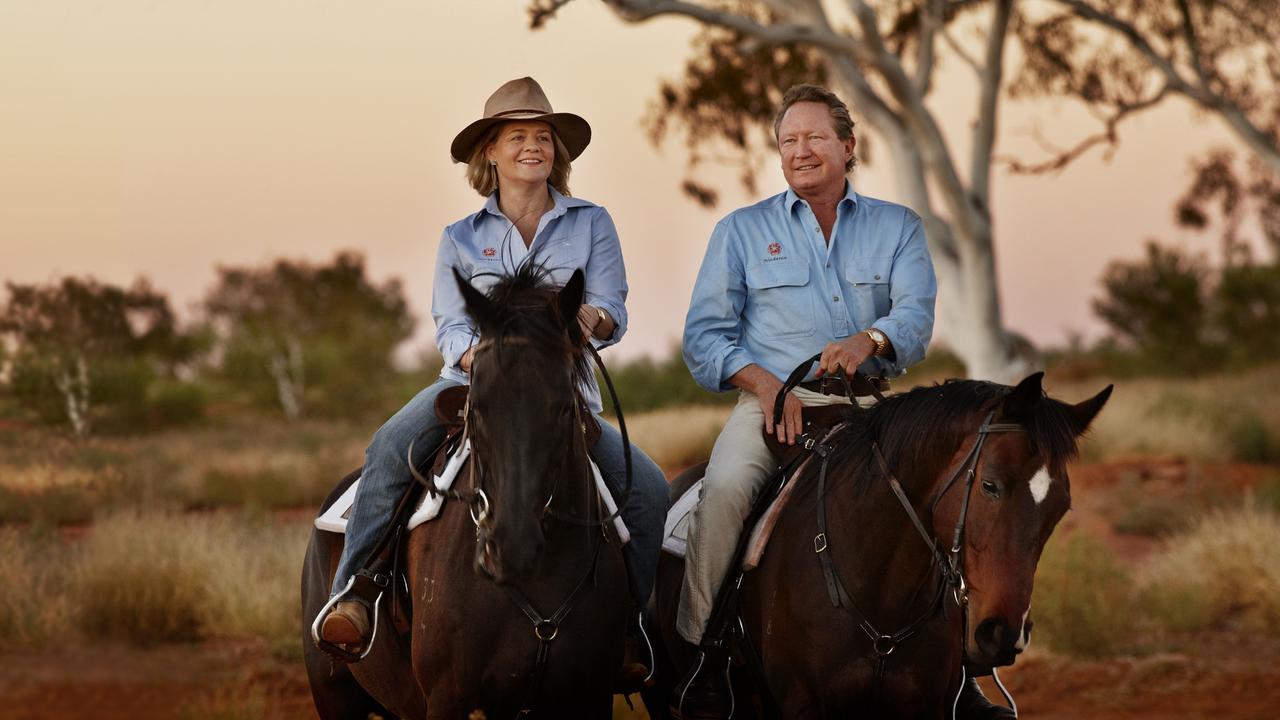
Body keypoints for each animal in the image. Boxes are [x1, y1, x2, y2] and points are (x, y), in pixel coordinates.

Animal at [300, 263, 629, 717]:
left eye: (565, 408)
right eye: (478, 406)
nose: (512, 543)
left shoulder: (590, 695)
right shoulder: (448, 697)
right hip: (333, 694)